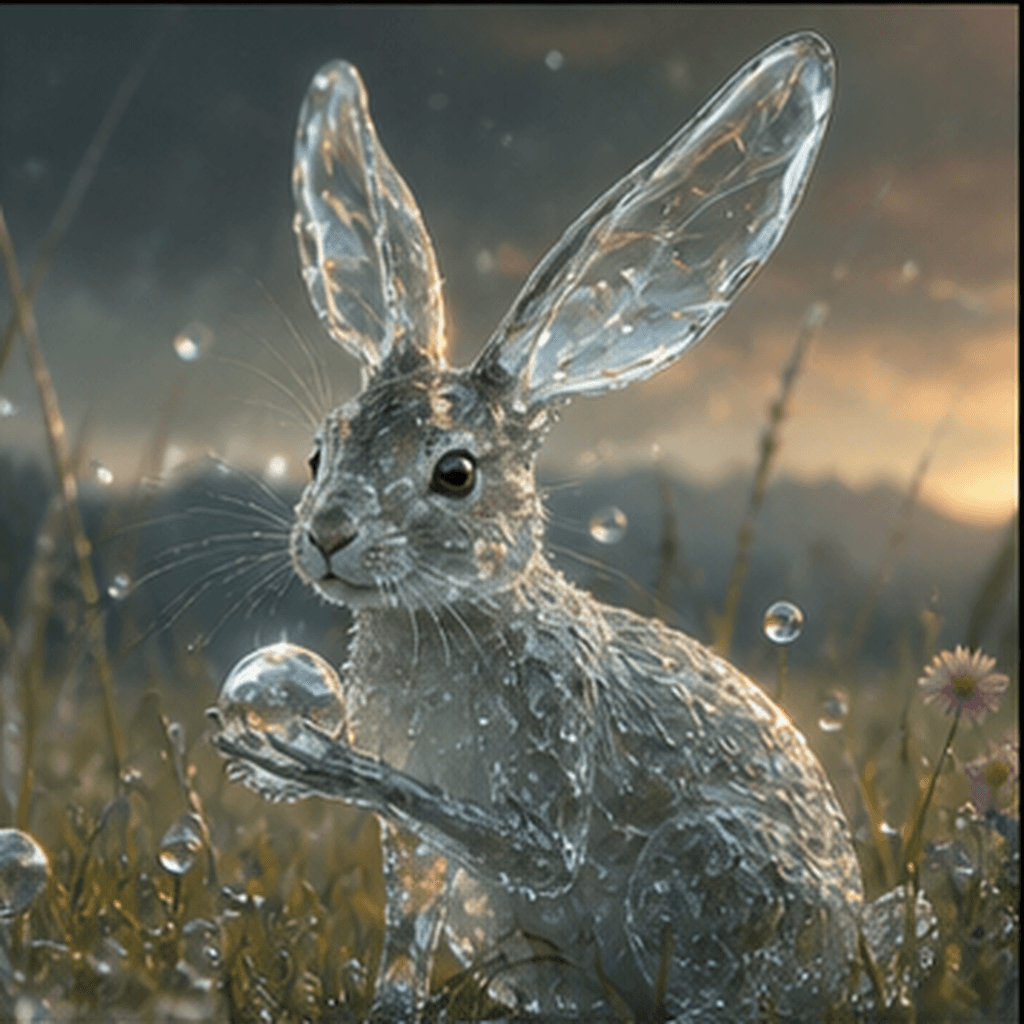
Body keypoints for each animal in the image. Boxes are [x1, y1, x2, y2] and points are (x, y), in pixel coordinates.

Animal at [210, 33, 931, 1023]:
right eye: (321, 451)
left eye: (456, 474)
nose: (326, 535)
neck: (451, 617)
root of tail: (847, 945)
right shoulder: (418, 862)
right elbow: (409, 924)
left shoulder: (555, 747)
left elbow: (522, 847)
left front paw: (308, 760)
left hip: (702, 868)